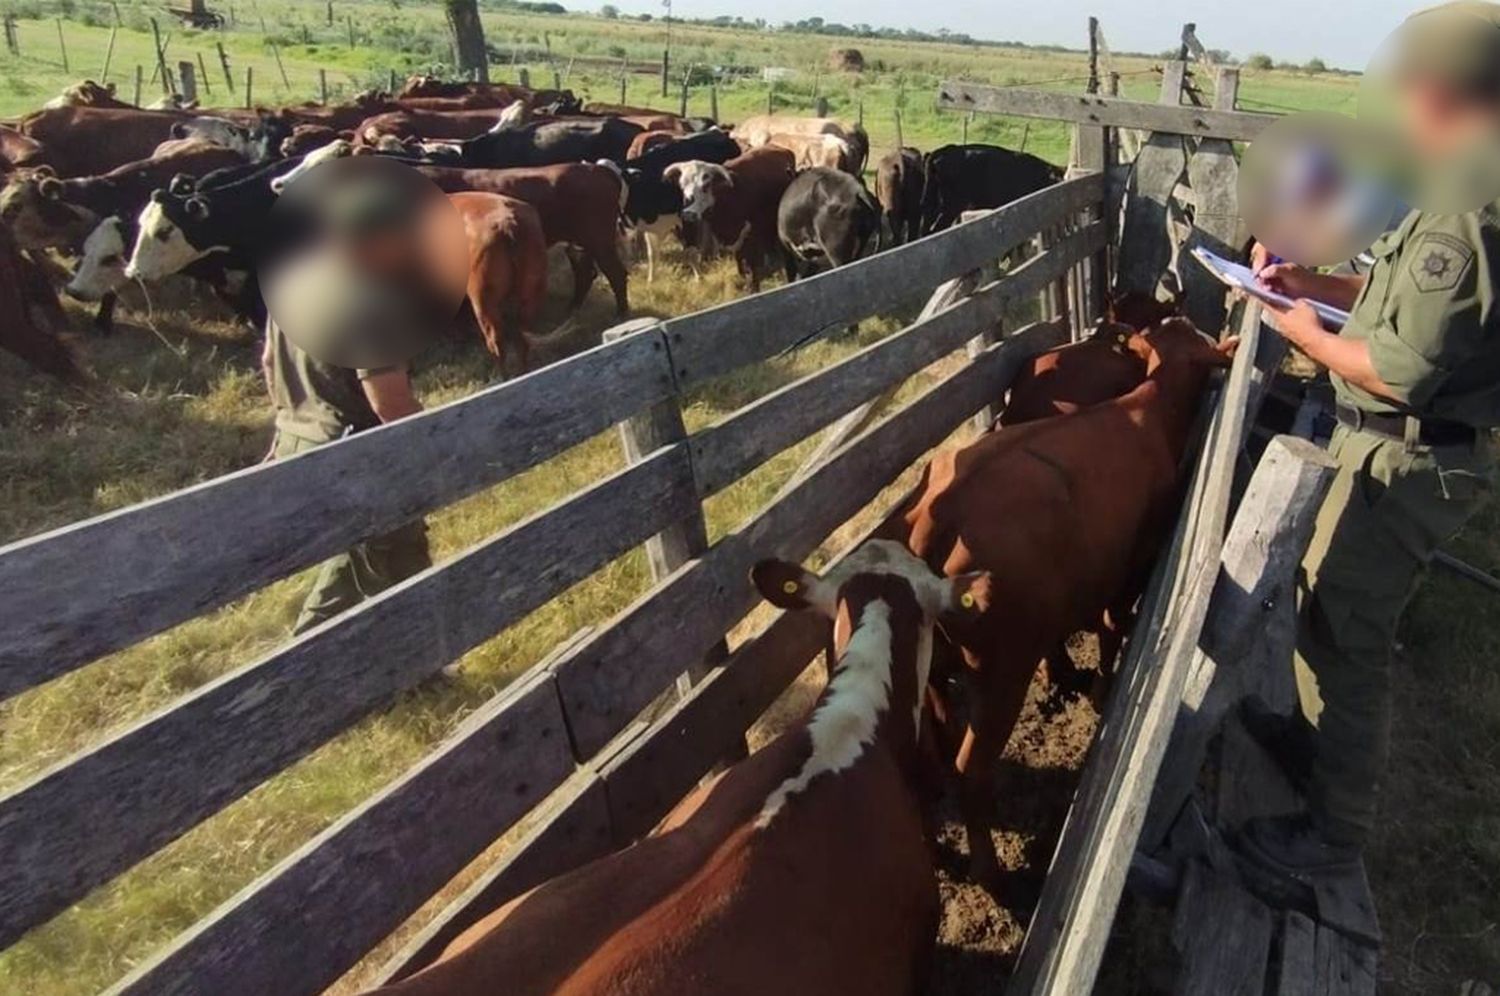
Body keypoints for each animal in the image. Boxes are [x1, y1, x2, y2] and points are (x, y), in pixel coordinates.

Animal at [450, 191, 558, 378]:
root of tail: (507, 223)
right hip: (532, 291)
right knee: (522, 337)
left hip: (484, 300)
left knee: (497, 342)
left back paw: (502, 377)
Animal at [666, 146, 798, 289]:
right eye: (682, 186)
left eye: (706, 186)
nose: (688, 214)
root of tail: (780, 148)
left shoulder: (750, 236)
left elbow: (752, 270)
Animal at [882, 316, 1236, 882]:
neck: (1146, 408)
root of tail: (937, 511)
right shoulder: (1129, 566)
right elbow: (1112, 628)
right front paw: (1101, 690)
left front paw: (1067, 676)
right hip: (1000, 676)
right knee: (970, 770)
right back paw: (988, 869)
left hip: (934, 672)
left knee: (926, 761)